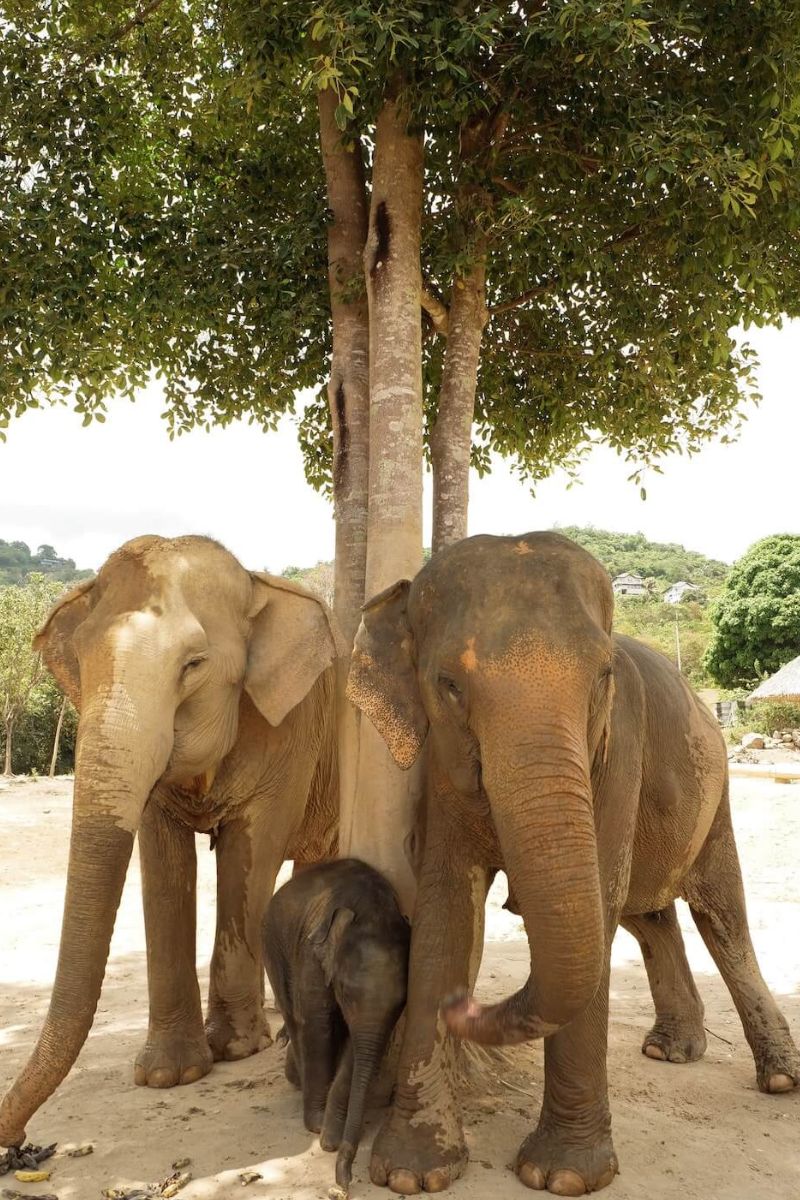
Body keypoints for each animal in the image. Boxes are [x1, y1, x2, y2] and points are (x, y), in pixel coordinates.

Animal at [0, 534, 343, 1150]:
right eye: (80, 666)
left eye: (193, 665)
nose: (14, 1141)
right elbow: (161, 863)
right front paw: (168, 1074)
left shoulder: (290, 729)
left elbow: (248, 852)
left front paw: (234, 1048)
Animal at [263, 857, 410, 1193]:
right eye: (344, 991)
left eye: (402, 1004)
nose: (345, 1180)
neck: (373, 908)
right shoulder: (311, 954)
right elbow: (317, 1023)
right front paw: (317, 1126)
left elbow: (357, 1046)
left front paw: (330, 1133)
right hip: (272, 944)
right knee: (293, 1015)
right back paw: (299, 1081)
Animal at [346, 531, 799, 1197]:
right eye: (448, 685)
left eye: (602, 676)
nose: (464, 1006)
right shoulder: (443, 766)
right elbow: (444, 910)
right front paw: (410, 1172)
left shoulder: (619, 743)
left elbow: (599, 904)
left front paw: (561, 1175)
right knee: (651, 916)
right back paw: (673, 1050)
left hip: (714, 797)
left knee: (723, 919)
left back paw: (780, 1079)